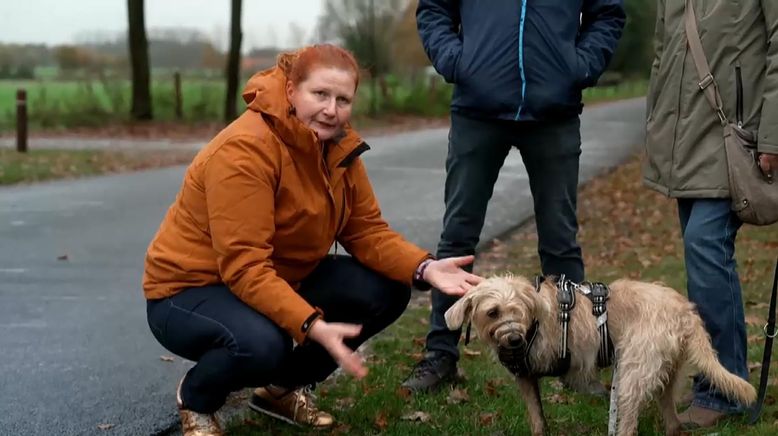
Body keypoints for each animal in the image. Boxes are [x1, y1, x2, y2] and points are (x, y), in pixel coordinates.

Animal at [446, 276, 756, 436]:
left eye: (517, 311)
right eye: (493, 312)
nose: (513, 340)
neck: (533, 321)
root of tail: (684, 309)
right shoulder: (526, 378)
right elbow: (537, 419)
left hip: (632, 375)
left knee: (628, 423)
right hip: (666, 373)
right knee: (671, 418)